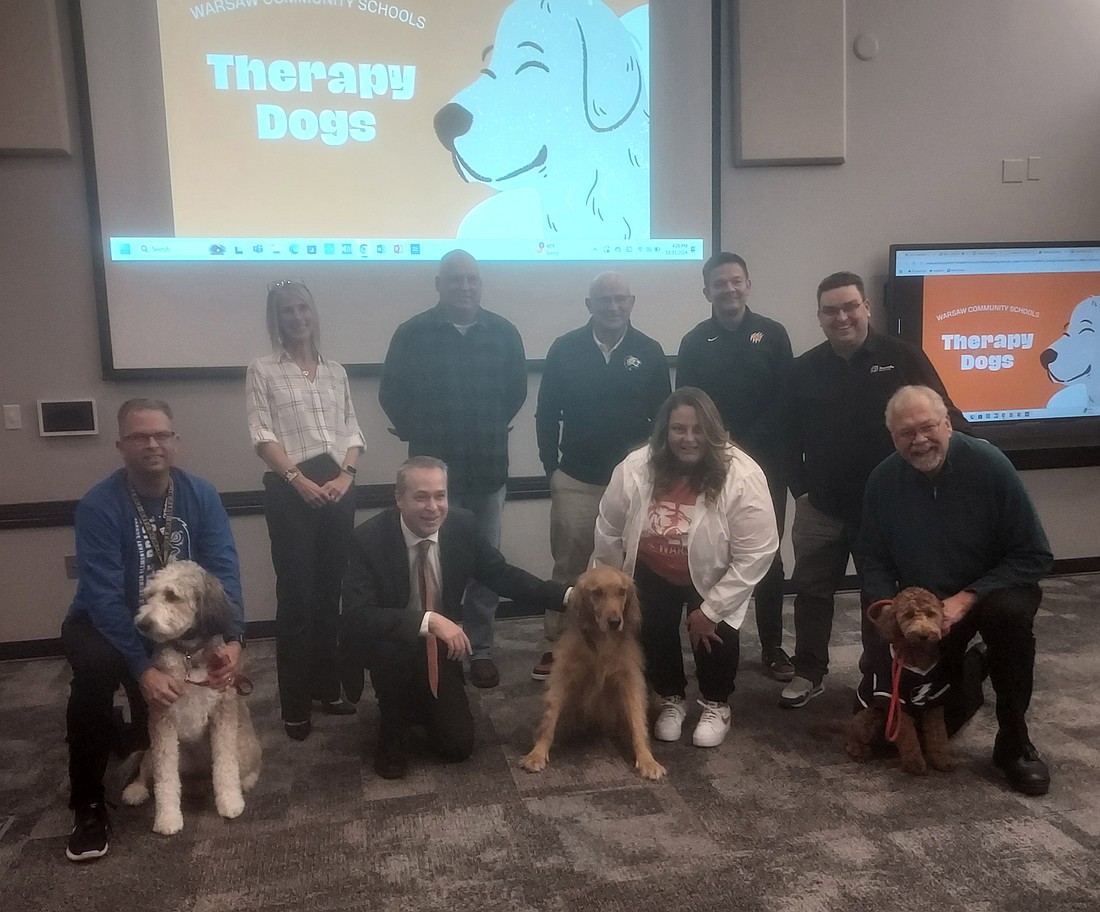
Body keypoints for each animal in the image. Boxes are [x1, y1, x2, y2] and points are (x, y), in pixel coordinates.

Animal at [120, 558, 259, 836]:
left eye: (171, 595)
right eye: (148, 595)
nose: (142, 624)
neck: (189, 656)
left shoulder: (222, 716)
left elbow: (226, 766)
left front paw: (230, 801)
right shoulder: (162, 721)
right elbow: (165, 778)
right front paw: (168, 818)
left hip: (245, 745)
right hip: (154, 753)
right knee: (146, 771)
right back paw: (136, 790)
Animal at [514, 567, 660, 778]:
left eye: (622, 592)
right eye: (597, 593)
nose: (615, 622)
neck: (601, 641)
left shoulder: (629, 679)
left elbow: (637, 721)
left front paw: (647, 759)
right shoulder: (562, 676)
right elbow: (549, 720)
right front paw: (537, 753)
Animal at [849, 585, 954, 774]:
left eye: (931, 613)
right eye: (908, 615)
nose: (923, 635)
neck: (918, 654)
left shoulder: (935, 697)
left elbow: (938, 734)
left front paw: (942, 759)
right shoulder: (895, 699)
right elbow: (907, 735)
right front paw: (914, 763)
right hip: (870, 716)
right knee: (856, 737)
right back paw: (859, 751)